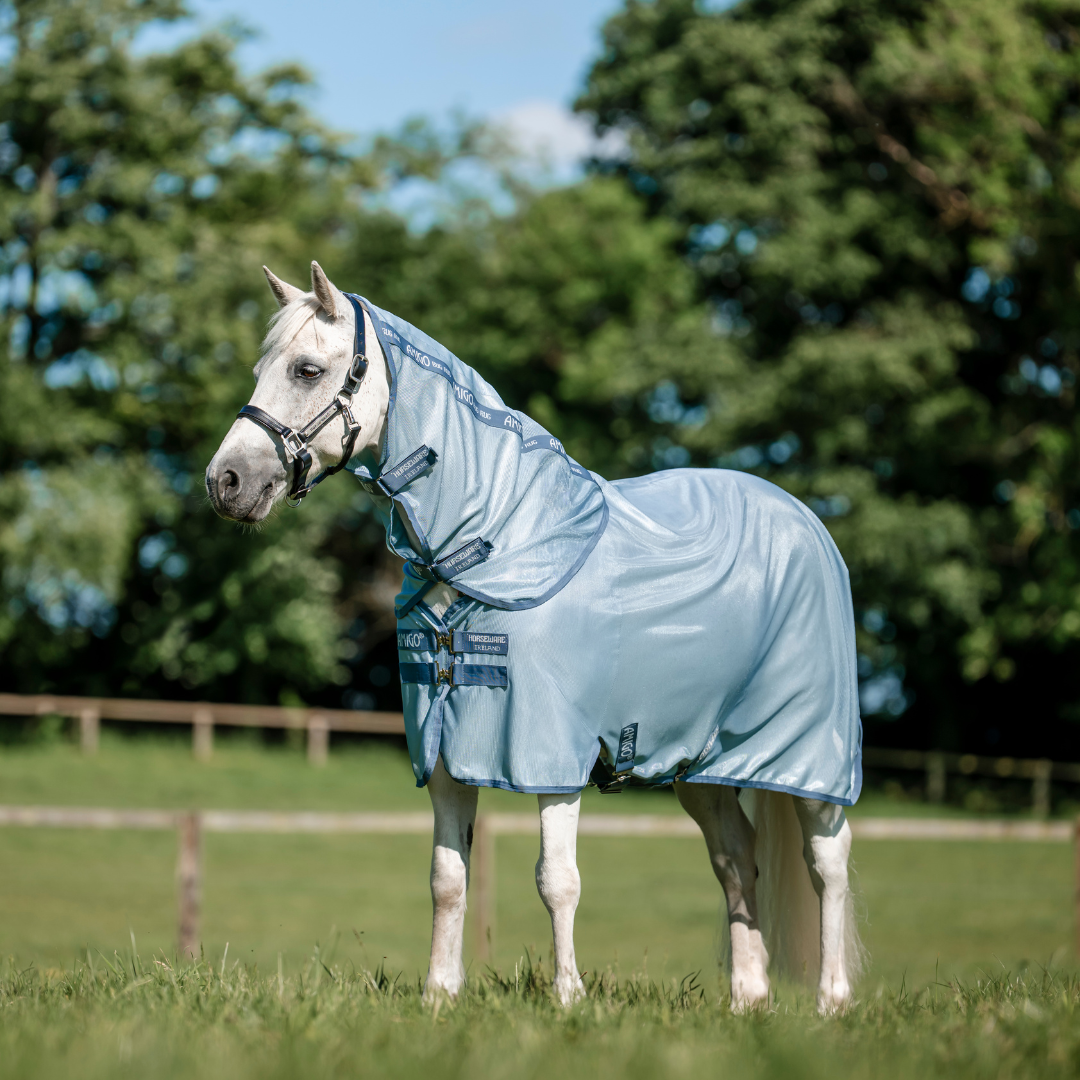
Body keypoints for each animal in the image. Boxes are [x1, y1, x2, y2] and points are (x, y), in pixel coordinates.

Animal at [206, 261, 864, 1014]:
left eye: (308, 369)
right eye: (262, 368)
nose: (226, 482)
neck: (495, 540)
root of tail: (805, 523)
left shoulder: (552, 754)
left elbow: (558, 881)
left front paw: (568, 999)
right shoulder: (443, 753)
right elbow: (447, 878)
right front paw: (439, 996)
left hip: (811, 756)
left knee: (827, 865)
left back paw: (832, 1002)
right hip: (698, 763)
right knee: (736, 861)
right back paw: (747, 1000)